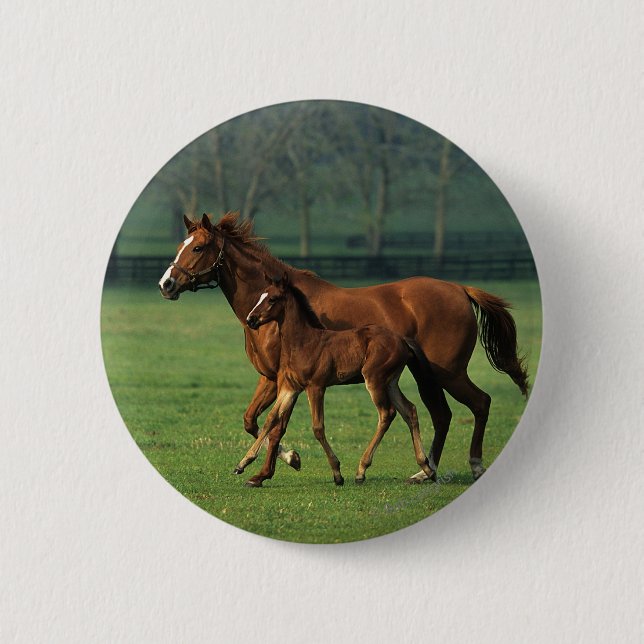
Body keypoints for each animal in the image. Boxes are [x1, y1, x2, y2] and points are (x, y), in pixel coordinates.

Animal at [232, 272, 437, 487]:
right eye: (260, 296)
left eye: (272, 299)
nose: (251, 319)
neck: (303, 342)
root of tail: (402, 340)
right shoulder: (290, 388)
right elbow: (270, 419)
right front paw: (242, 464)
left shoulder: (316, 387)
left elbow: (318, 427)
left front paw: (337, 473)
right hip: (390, 382)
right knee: (409, 410)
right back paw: (426, 467)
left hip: (374, 379)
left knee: (386, 413)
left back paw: (361, 470)